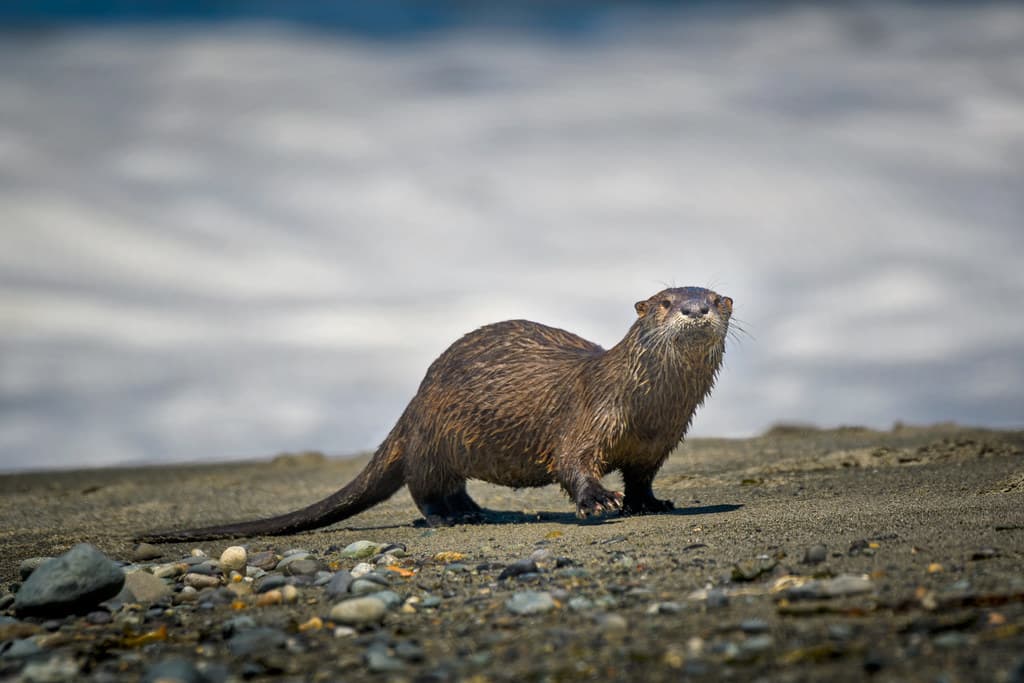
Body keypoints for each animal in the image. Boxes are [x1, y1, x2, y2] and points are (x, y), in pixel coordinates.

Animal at [138, 287, 732, 542]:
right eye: (664, 302)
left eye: (716, 298)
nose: (693, 308)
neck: (645, 411)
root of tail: (415, 401)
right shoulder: (587, 416)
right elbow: (572, 462)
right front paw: (599, 502)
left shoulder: (658, 442)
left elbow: (642, 476)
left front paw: (650, 503)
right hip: (437, 437)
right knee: (422, 487)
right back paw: (449, 519)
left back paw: (477, 512)